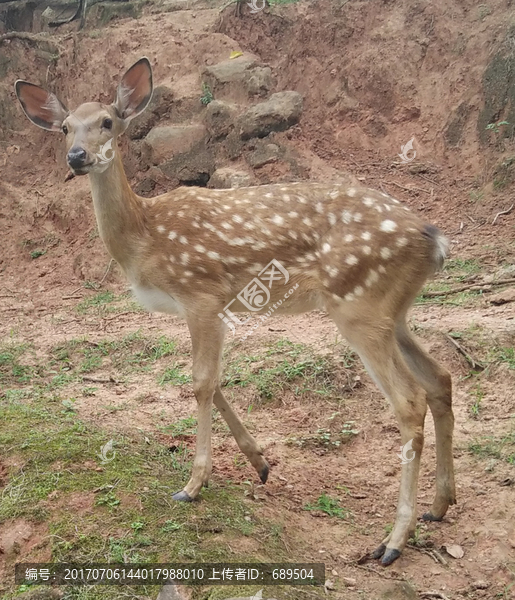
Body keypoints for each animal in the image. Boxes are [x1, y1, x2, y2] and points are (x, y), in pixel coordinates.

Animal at [16, 56, 458, 564]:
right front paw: (260, 463)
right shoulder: (213, 307)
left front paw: (192, 484)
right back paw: (439, 506)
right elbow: (215, 380)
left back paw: (393, 541)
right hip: (393, 311)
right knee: (441, 378)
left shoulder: (201, 293)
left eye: (107, 122)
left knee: (409, 400)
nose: (76, 156)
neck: (145, 237)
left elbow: (200, 383)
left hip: (359, 305)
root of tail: (434, 240)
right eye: (65, 127)